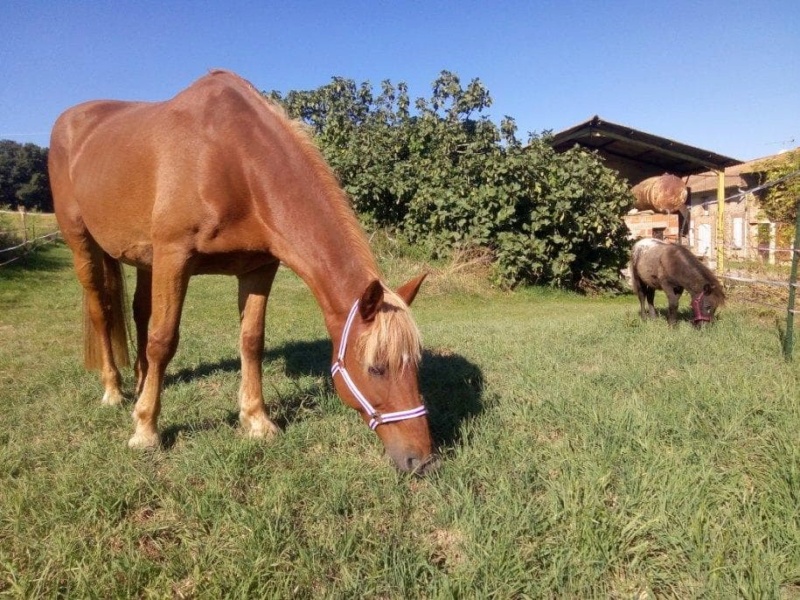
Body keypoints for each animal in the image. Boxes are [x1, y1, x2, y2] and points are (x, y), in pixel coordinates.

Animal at [50, 70, 438, 474]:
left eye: (416, 365)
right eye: (376, 368)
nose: (422, 460)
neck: (232, 159)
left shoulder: (258, 268)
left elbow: (251, 341)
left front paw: (257, 420)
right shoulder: (175, 256)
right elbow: (163, 340)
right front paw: (145, 430)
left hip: (146, 259)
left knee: (140, 312)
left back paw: (142, 381)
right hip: (83, 244)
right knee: (103, 311)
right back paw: (114, 391)